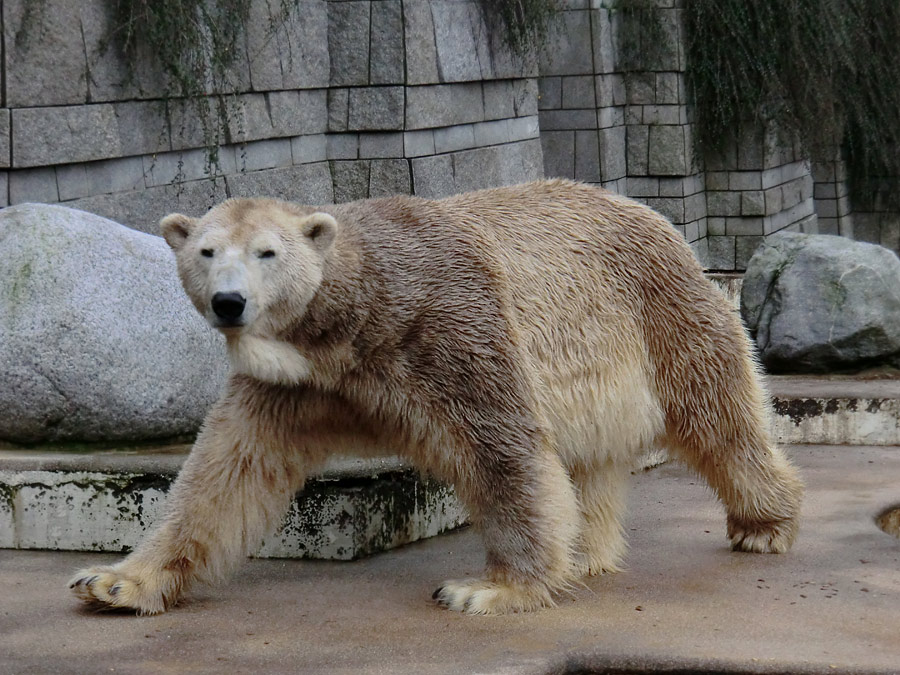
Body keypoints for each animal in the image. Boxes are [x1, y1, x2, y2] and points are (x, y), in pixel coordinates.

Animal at [68, 181, 800, 616]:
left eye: (267, 252)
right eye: (206, 250)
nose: (229, 302)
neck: (357, 315)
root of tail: (657, 218)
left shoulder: (450, 323)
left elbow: (504, 446)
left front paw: (487, 587)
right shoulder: (292, 383)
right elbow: (224, 472)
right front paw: (114, 580)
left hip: (660, 312)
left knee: (718, 414)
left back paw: (764, 523)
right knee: (592, 461)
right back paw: (588, 555)